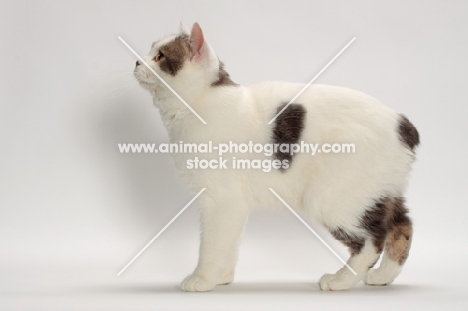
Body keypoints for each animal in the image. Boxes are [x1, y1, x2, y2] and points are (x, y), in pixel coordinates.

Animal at [133, 22, 418, 292]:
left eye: (159, 56)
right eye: (151, 51)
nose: (136, 61)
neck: (196, 105)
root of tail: (403, 124)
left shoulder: (220, 200)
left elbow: (212, 245)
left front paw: (202, 279)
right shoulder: (234, 205)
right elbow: (229, 242)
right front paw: (222, 277)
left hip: (332, 199)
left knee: (372, 240)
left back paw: (341, 280)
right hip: (380, 193)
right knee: (402, 226)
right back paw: (383, 276)